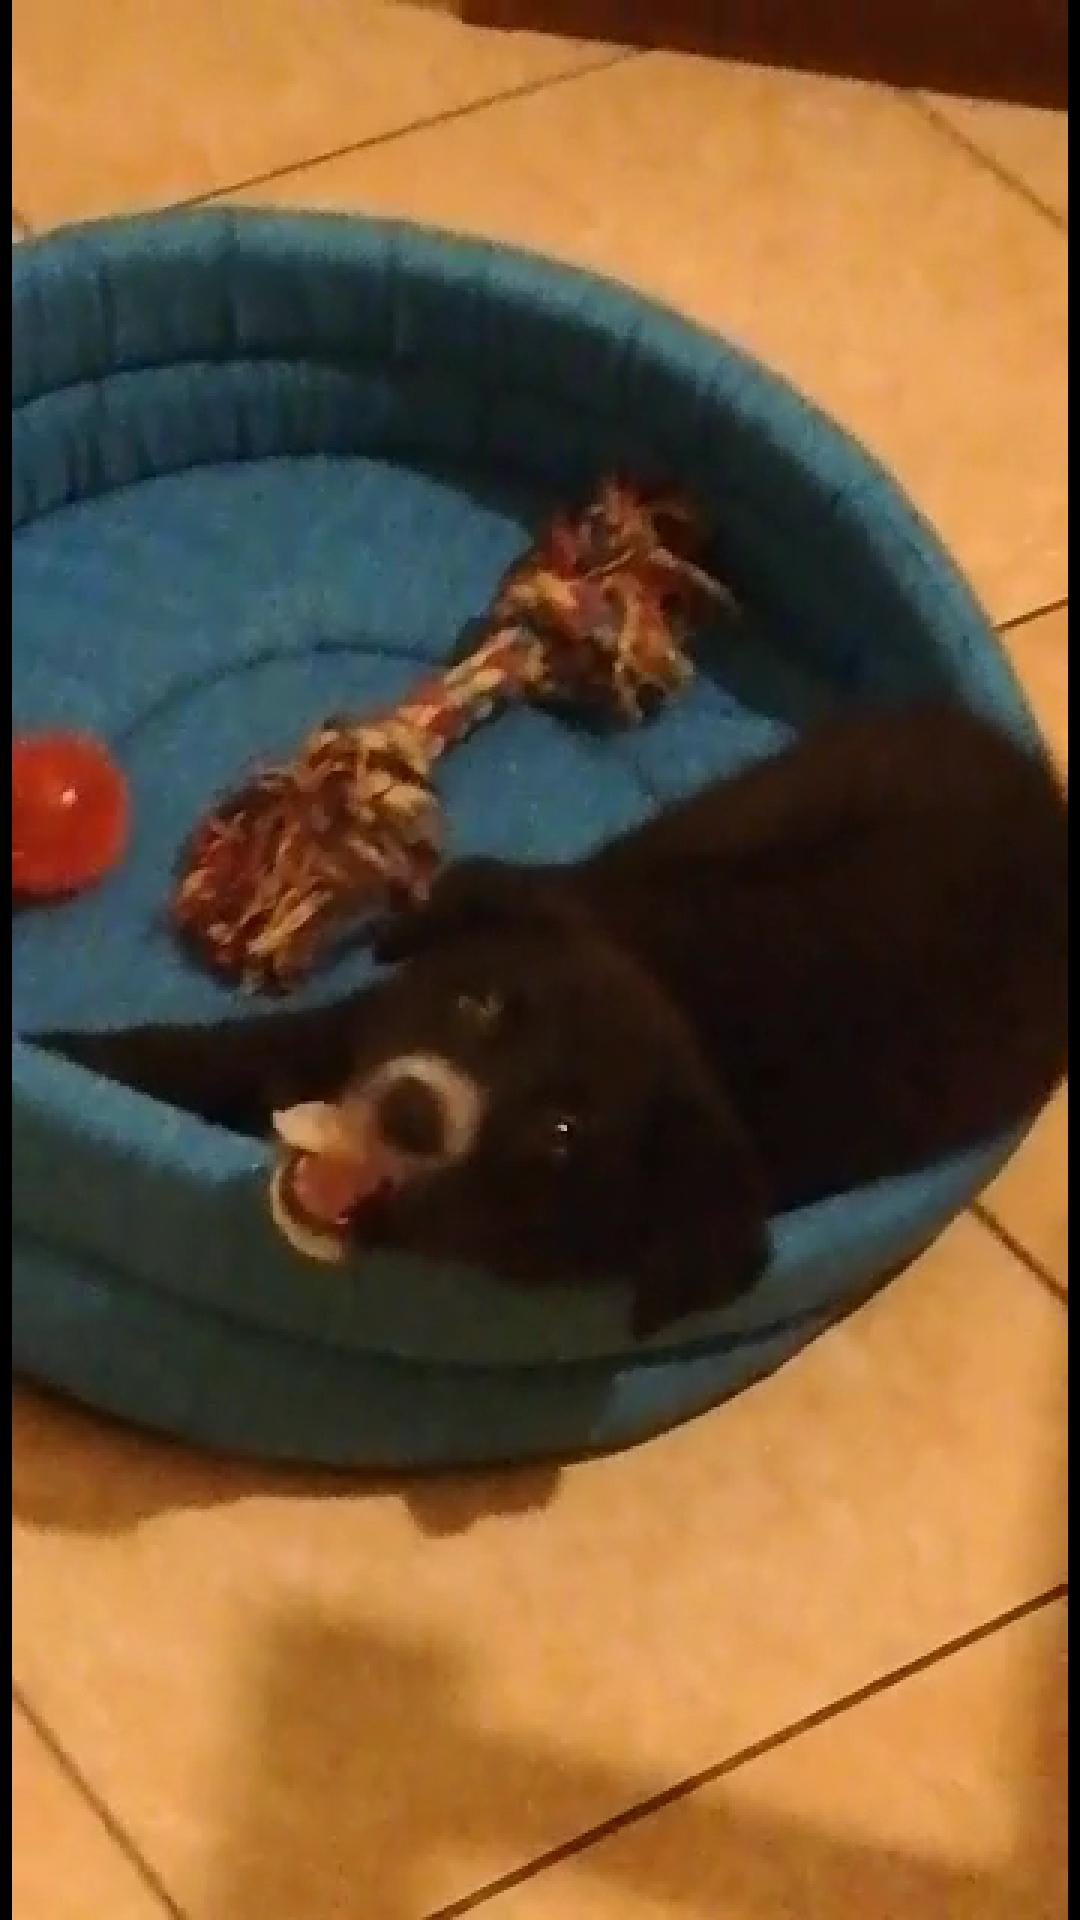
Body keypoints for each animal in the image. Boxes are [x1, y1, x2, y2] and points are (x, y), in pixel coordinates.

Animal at [36, 700, 1068, 1337]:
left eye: (562, 1134)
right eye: (478, 1000)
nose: (412, 1110)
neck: (674, 989)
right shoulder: (344, 1025)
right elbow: (190, 1055)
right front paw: (54, 1055)